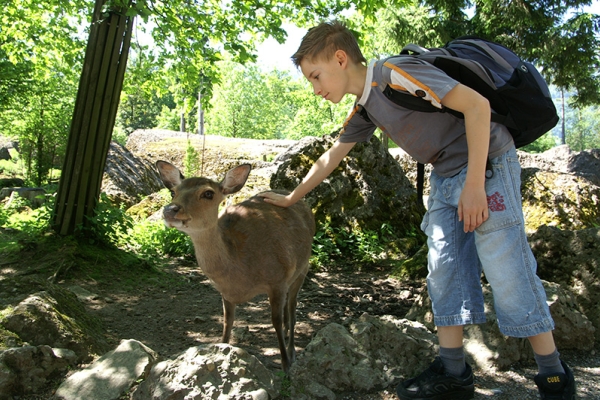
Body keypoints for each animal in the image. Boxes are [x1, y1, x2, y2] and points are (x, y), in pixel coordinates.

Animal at [154, 161, 314, 374]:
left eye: (208, 193)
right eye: (173, 192)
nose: (170, 209)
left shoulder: (277, 280)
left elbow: (275, 321)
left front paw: (286, 364)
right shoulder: (225, 292)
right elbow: (227, 322)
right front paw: (221, 351)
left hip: (303, 266)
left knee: (293, 305)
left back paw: (292, 348)